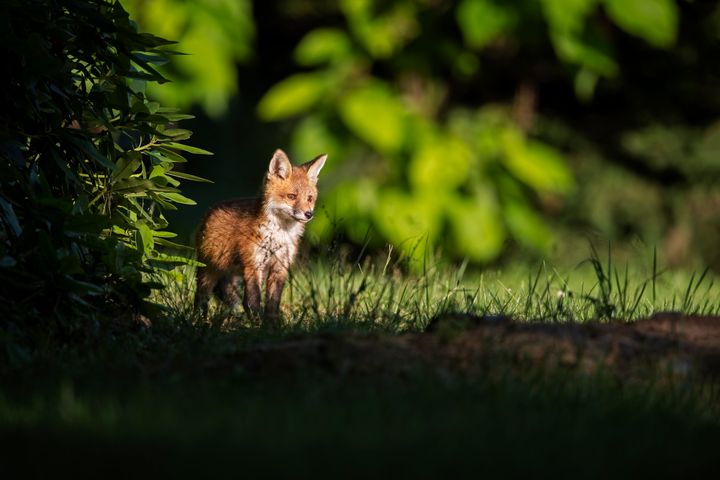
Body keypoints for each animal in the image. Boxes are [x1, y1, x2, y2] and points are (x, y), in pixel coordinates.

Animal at [191, 148, 326, 324]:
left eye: (309, 198)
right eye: (292, 196)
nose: (308, 214)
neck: (278, 236)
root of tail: (210, 210)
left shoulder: (280, 266)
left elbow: (273, 302)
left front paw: (272, 324)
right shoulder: (253, 264)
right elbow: (252, 302)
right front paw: (256, 325)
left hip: (234, 274)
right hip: (209, 270)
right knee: (201, 297)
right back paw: (198, 320)